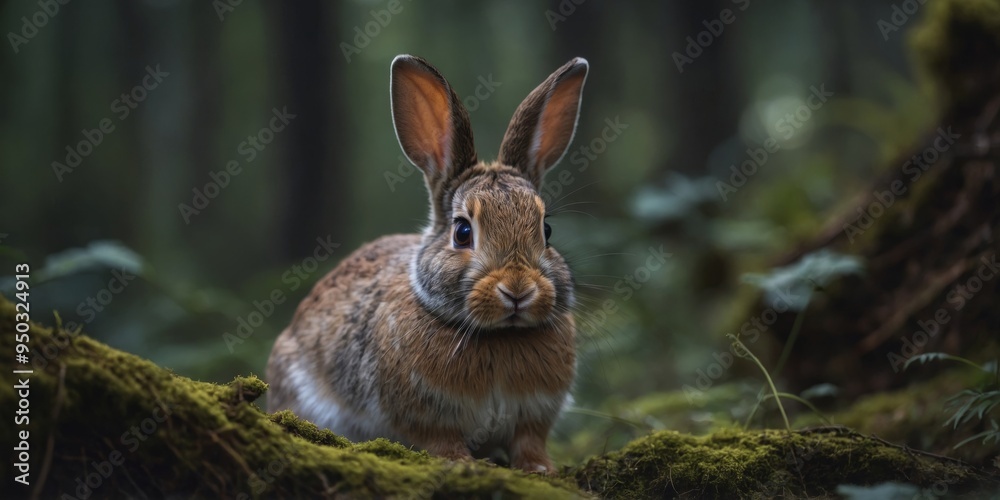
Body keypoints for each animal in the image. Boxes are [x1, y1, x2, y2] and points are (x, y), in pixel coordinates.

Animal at [266, 54, 588, 474]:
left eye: (546, 230)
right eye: (462, 232)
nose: (518, 289)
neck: (499, 335)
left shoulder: (533, 418)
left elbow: (529, 443)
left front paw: (540, 469)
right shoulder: (424, 416)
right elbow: (440, 440)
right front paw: (461, 462)